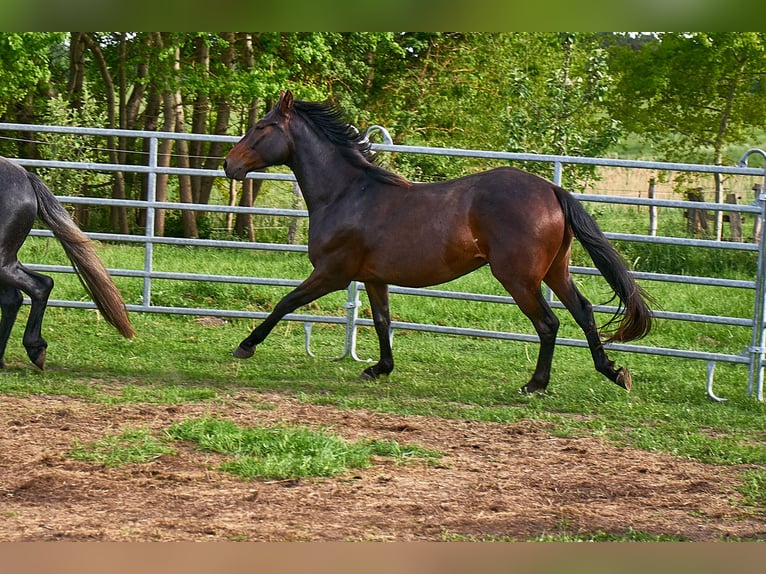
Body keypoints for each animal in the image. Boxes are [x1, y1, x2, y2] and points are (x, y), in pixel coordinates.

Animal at [0, 156, 135, 369]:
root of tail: (26, 177)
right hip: (7, 261)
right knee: (14, 299)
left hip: (3, 261)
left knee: (38, 287)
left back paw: (35, 350)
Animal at [223, 90, 653, 394]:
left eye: (261, 127)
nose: (229, 165)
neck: (347, 193)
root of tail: (551, 189)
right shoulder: (373, 278)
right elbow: (382, 321)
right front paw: (379, 368)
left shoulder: (332, 273)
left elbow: (285, 302)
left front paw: (246, 345)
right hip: (554, 271)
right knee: (583, 312)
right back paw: (614, 372)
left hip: (517, 278)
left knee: (548, 323)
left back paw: (535, 385)